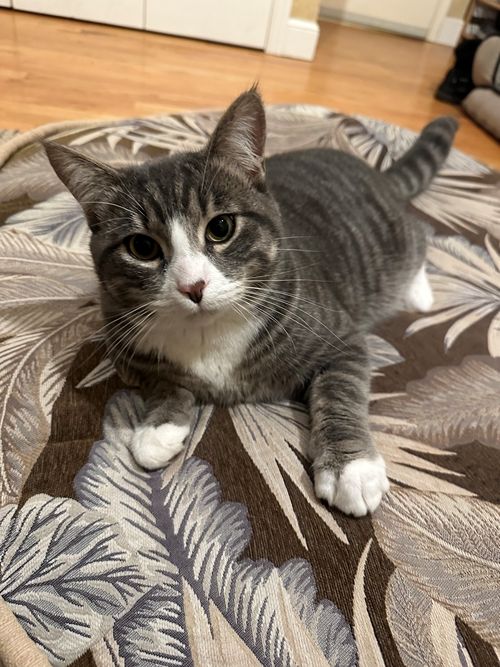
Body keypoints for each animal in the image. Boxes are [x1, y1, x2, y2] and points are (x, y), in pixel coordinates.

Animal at [44, 88, 457, 517]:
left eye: (221, 227)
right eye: (142, 247)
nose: (193, 286)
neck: (209, 332)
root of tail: (376, 173)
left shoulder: (340, 337)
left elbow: (340, 389)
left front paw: (351, 469)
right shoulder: (127, 347)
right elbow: (163, 380)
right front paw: (159, 428)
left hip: (391, 240)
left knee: (421, 232)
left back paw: (419, 292)